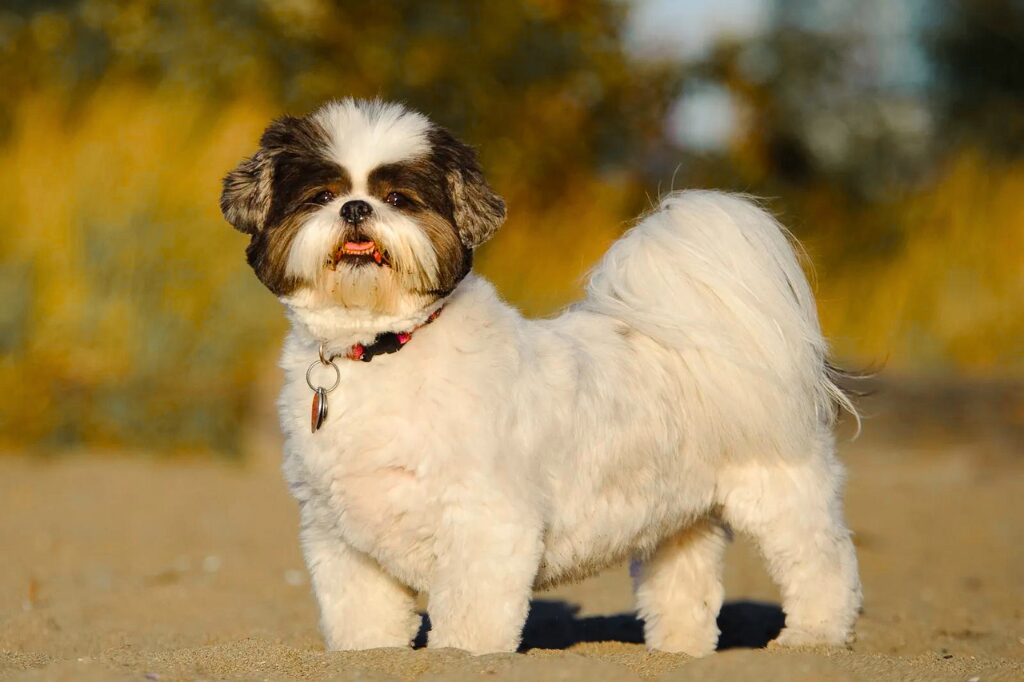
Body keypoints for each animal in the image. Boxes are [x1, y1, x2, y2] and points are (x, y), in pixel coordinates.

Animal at [220, 96, 860, 655]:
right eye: (321, 196)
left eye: (399, 198)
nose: (355, 208)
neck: (383, 348)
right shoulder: (342, 535)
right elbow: (364, 616)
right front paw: (370, 655)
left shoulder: (484, 520)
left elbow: (472, 615)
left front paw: (461, 655)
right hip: (676, 516)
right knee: (686, 582)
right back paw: (678, 652)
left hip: (779, 489)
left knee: (820, 563)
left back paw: (812, 639)